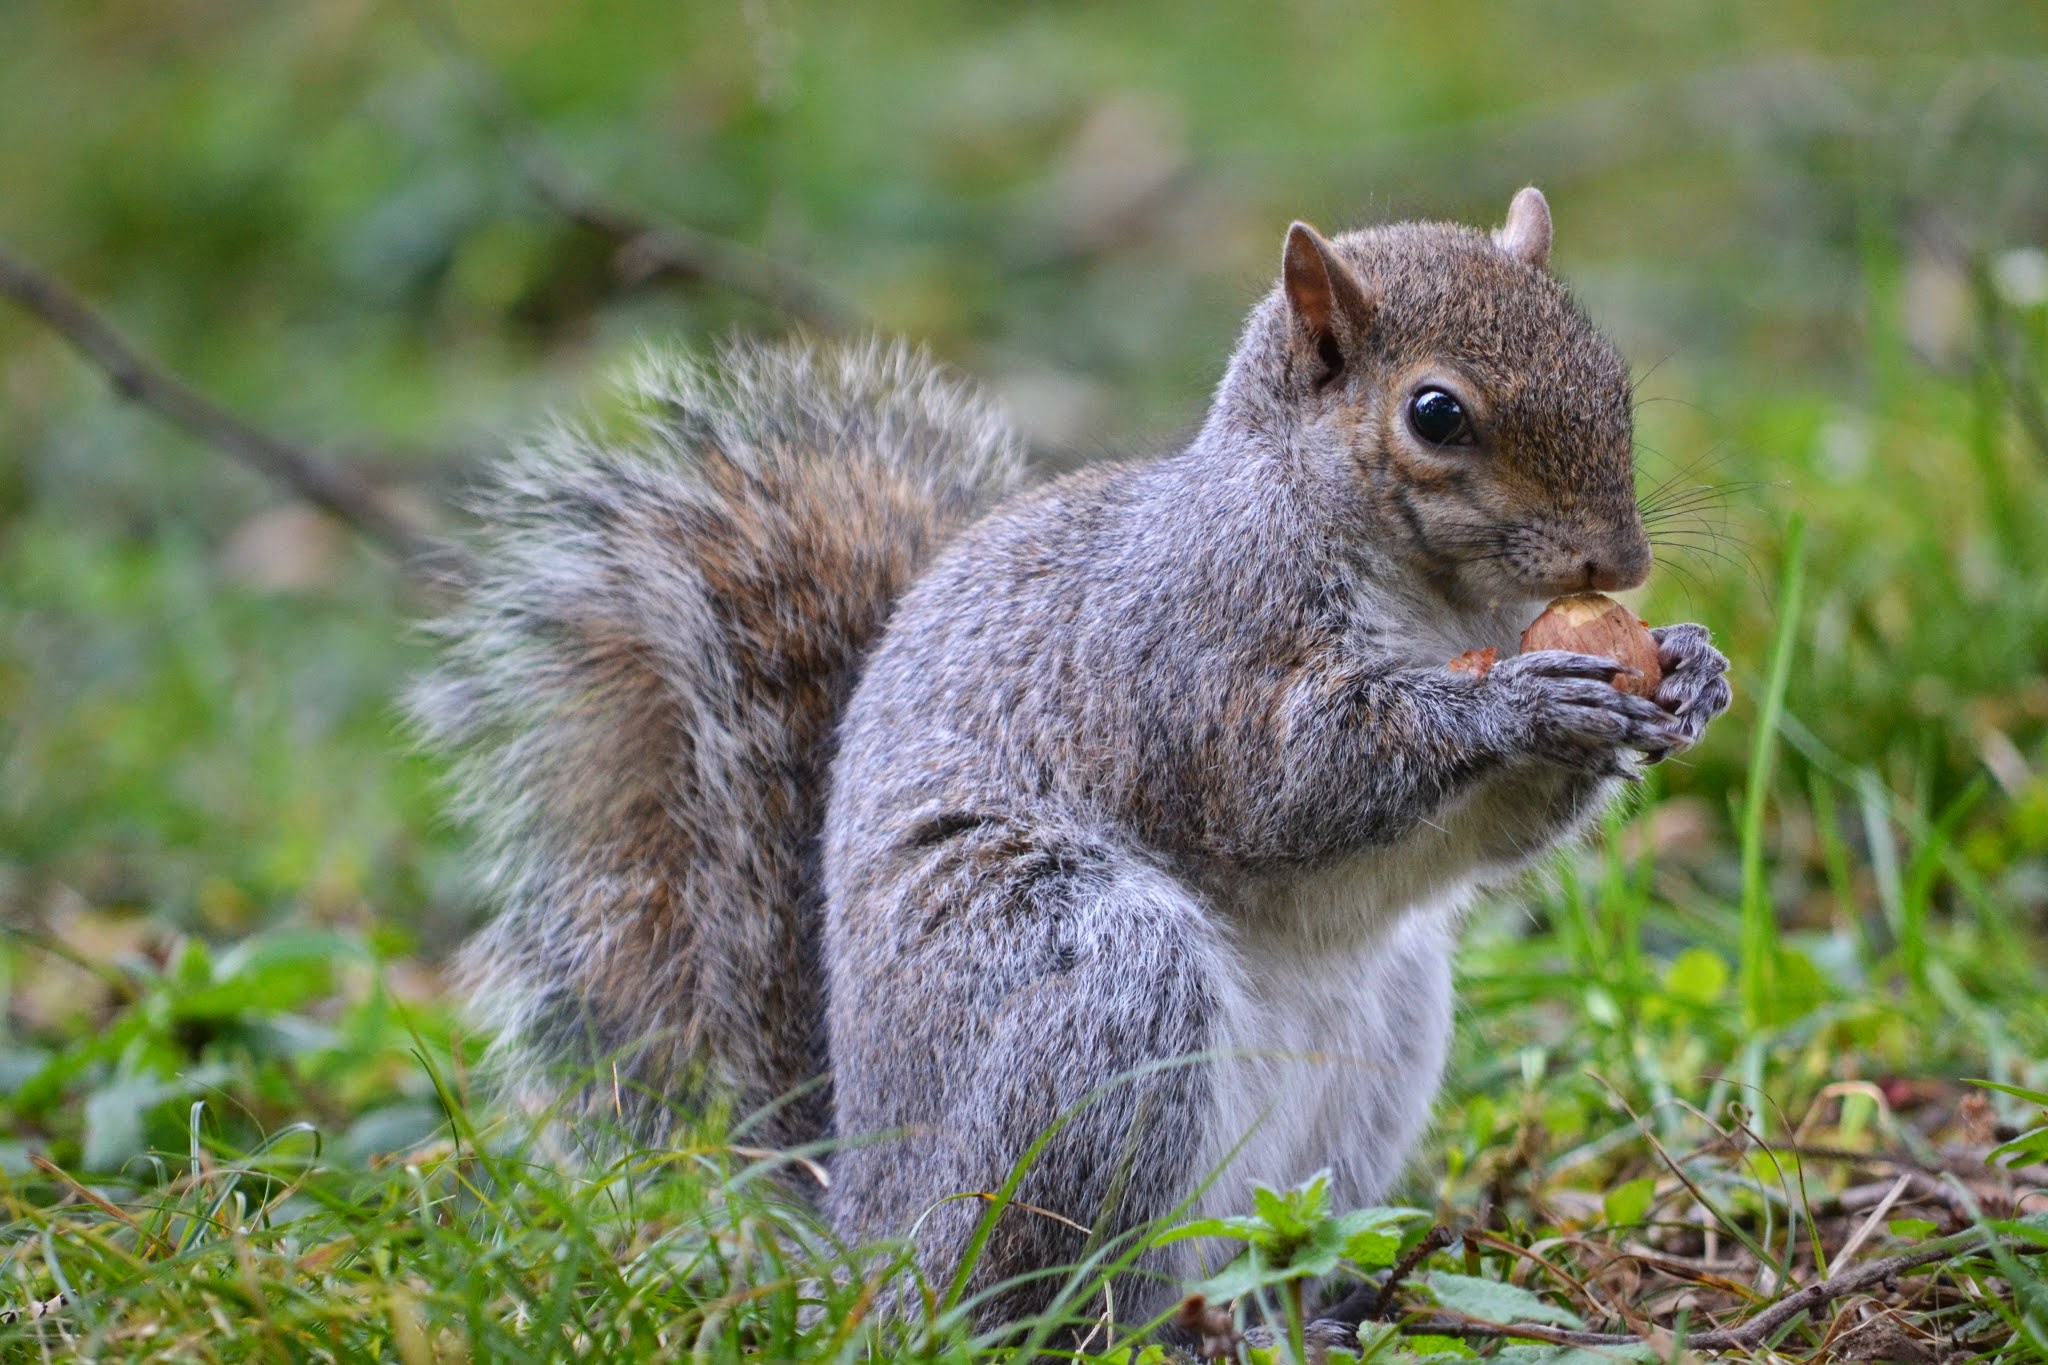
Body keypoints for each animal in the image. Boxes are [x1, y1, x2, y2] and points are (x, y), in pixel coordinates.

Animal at [413, 188, 1732, 1329]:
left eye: (1609, 371)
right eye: (1435, 414)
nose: (1618, 563)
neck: (1432, 600)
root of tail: (864, 1226)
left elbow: (1486, 839)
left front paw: (1688, 671)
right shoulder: (1182, 655)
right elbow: (1287, 785)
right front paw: (1517, 702)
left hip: (1375, 1047)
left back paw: (1319, 1303)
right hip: (1084, 991)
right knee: (1036, 1292)